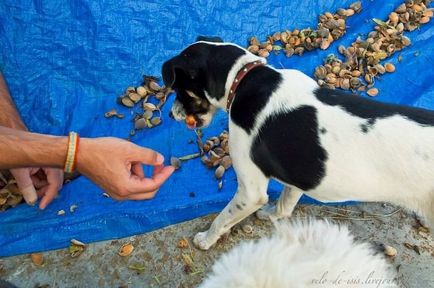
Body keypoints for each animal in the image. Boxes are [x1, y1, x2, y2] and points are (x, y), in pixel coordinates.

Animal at [162, 37, 434, 250]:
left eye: (178, 91)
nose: (170, 115)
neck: (246, 80)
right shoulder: (295, 178)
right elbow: (283, 207)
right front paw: (269, 215)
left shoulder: (250, 193)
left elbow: (221, 219)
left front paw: (205, 240)